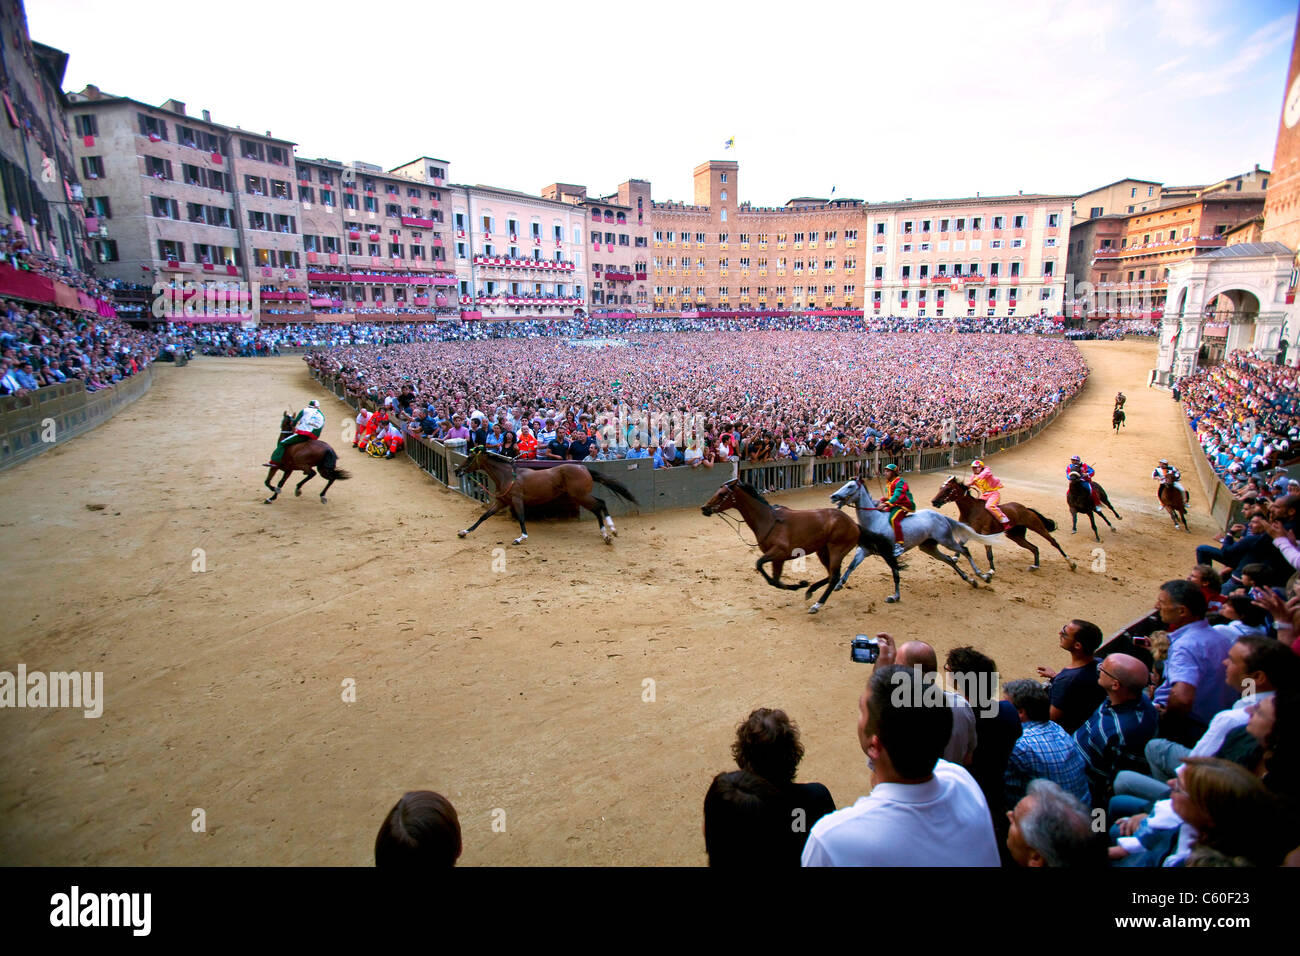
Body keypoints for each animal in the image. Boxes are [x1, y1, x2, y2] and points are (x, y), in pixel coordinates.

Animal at [454, 442, 637, 541]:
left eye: (469, 458)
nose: (457, 471)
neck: (507, 475)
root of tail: (584, 467)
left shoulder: (517, 500)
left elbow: (521, 518)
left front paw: (521, 537)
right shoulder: (501, 501)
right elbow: (483, 516)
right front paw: (464, 532)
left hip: (580, 496)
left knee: (599, 505)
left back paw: (608, 533)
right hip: (580, 496)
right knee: (600, 505)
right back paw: (610, 531)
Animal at [702, 476, 894, 613]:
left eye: (722, 494)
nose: (704, 508)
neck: (769, 520)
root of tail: (854, 524)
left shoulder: (779, 553)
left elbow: (761, 566)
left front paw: (798, 585)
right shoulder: (777, 559)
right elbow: (774, 580)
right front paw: (800, 585)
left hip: (837, 550)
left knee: (834, 577)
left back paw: (817, 604)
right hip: (822, 551)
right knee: (831, 575)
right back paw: (810, 590)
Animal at [826, 473, 998, 606]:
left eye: (850, 486)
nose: (833, 497)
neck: (874, 520)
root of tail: (941, 516)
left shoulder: (889, 554)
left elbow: (895, 573)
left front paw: (895, 596)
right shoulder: (865, 550)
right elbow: (851, 566)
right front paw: (839, 584)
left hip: (947, 540)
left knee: (964, 550)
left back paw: (982, 576)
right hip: (928, 547)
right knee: (949, 559)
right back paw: (970, 580)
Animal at [935, 476, 1076, 572]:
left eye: (948, 489)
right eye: (941, 487)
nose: (934, 501)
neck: (972, 510)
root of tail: (1026, 508)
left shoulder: (985, 533)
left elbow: (989, 552)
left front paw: (991, 570)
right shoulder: (968, 531)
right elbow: (960, 544)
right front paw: (955, 558)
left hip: (1036, 525)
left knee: (1053, 542)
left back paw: (1071, 563)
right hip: (1015, 535)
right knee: (1034, 548)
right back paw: (1035, 565)